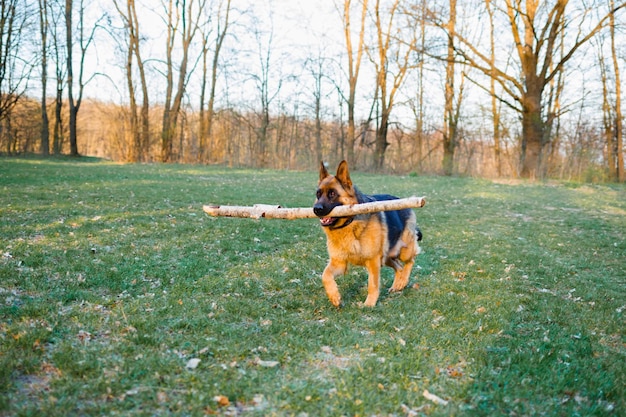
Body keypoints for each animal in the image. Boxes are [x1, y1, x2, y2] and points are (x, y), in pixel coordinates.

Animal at [314, 159, 422, 306]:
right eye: (318, 194)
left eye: (332, 194)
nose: (316, 209)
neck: (350, 223)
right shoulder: (339, 263)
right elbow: (325, 275)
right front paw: (334, 296)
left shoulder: (373, 261)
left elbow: (373, 284)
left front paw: (369, 304)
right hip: (386, 257)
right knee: (399, 267)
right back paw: (398, 285)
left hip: (403, 252)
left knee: (410, 261)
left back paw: (403, 281)